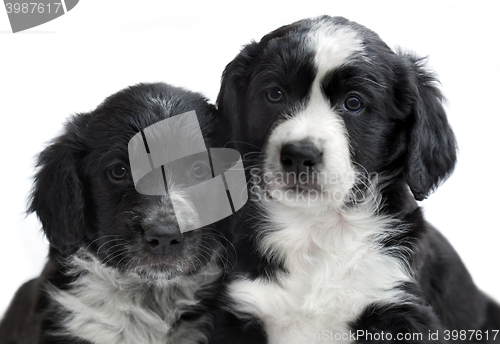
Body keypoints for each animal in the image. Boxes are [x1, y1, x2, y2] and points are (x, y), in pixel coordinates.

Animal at [210, 14, 500, 342]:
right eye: (274, 94)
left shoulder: (400, 307)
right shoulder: (240, 308)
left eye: (353, 103)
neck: (317, 231)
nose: (299, 154)